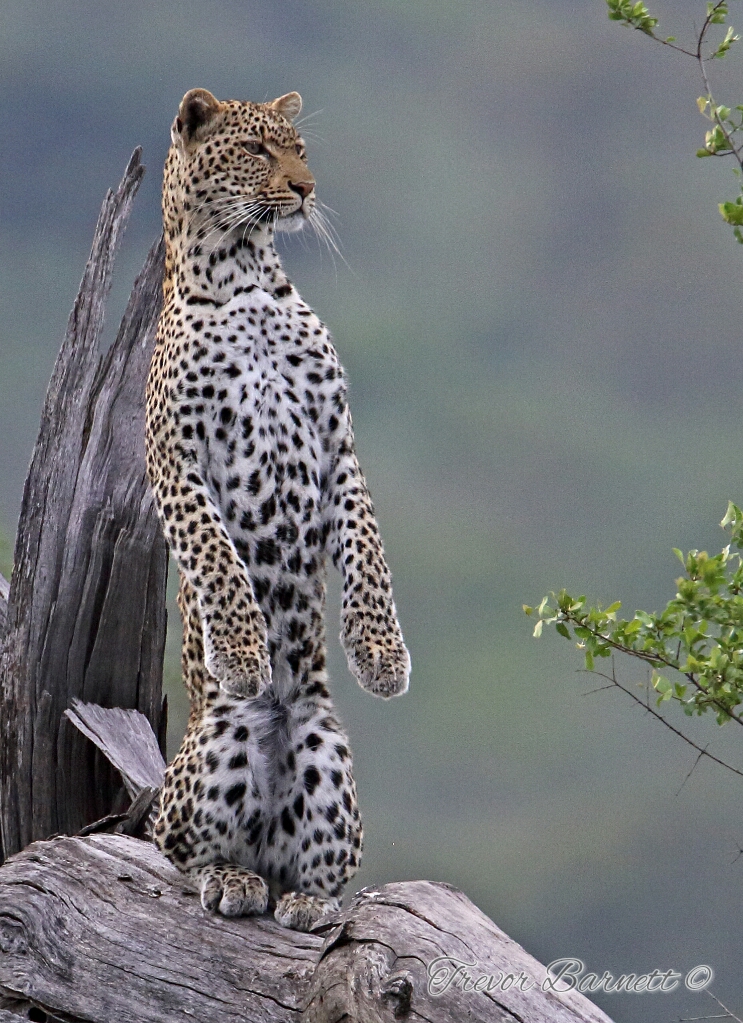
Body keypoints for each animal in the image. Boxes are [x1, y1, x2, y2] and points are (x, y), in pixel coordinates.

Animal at [145, 88, 411, 932]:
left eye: (299, 147)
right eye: (257, 151)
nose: (304, 188)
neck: (244, 273)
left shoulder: (336, 442)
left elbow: (368, 549)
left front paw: (380, 656)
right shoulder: (174, 457)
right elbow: (215, 555)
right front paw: (239, 651)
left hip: (328, 757)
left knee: (314, 868)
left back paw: (308, 900)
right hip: (216, 747)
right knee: (179, 848)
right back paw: (230, 878)